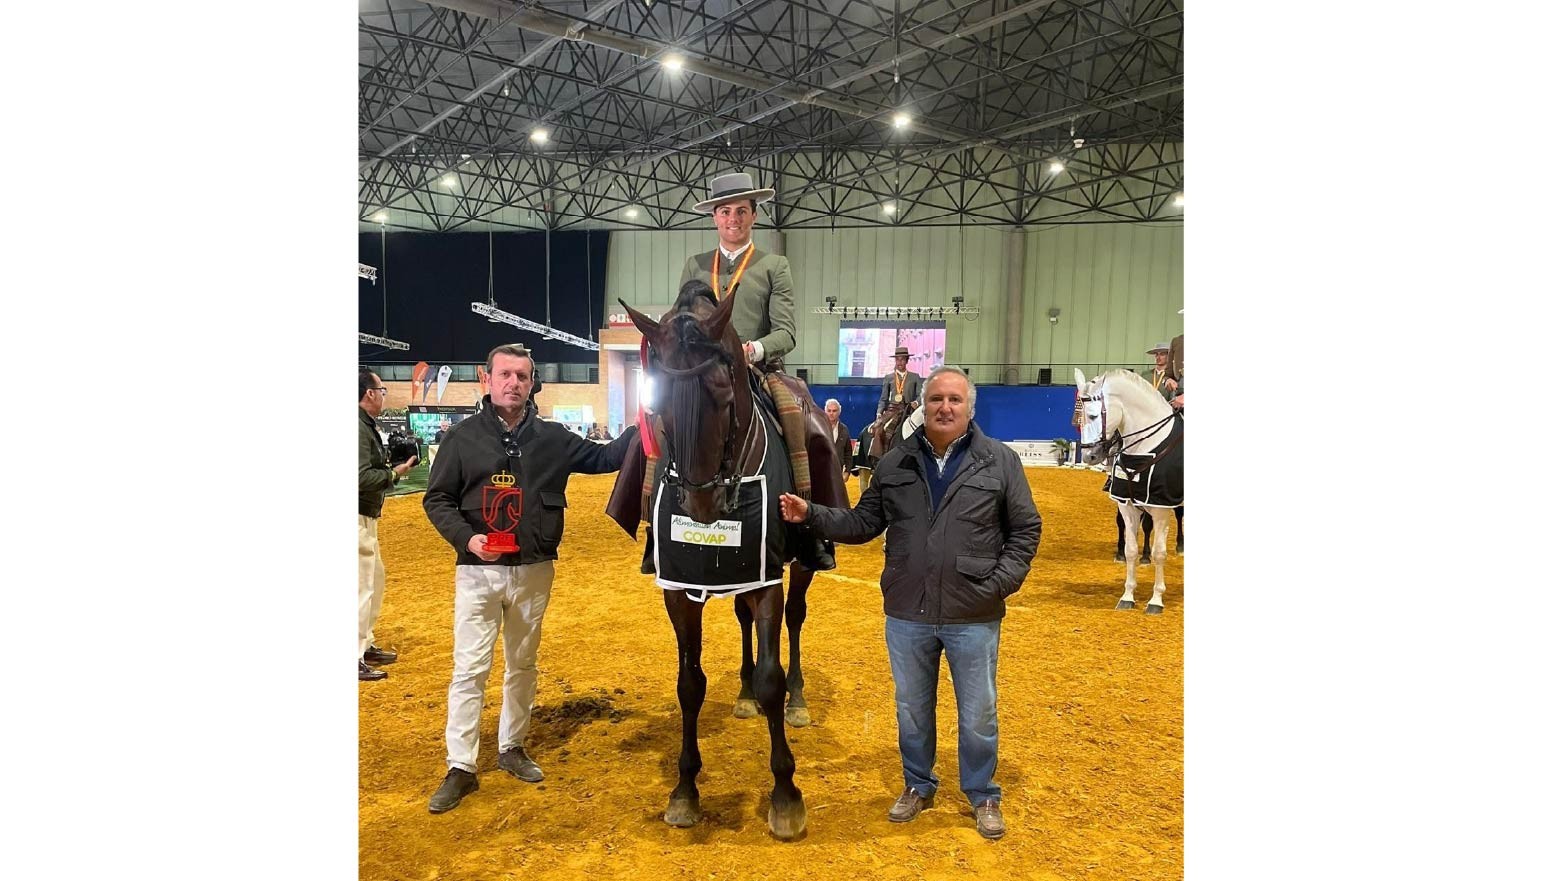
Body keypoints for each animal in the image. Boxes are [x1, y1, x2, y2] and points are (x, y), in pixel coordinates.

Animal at [620, 284, 809, 840]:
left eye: (726, 392)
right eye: (656, 397)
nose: (701, 506)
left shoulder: (767, 579)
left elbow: (771, 674)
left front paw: (785, 793)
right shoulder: (678, 590)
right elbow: (689, 685)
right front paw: (685, 790)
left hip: (802, 567)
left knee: (794, 621)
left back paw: (797, 700)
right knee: (743, 621)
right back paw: (743, 693)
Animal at [1075, 368, 1184, 614]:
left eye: (1093, 416)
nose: (1089, 456)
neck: (1145, 449)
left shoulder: (1160, 506)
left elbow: (1159, 552)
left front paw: (1155, 600)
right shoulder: (1127, 504)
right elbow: (1130, 549)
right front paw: (1127, 597)